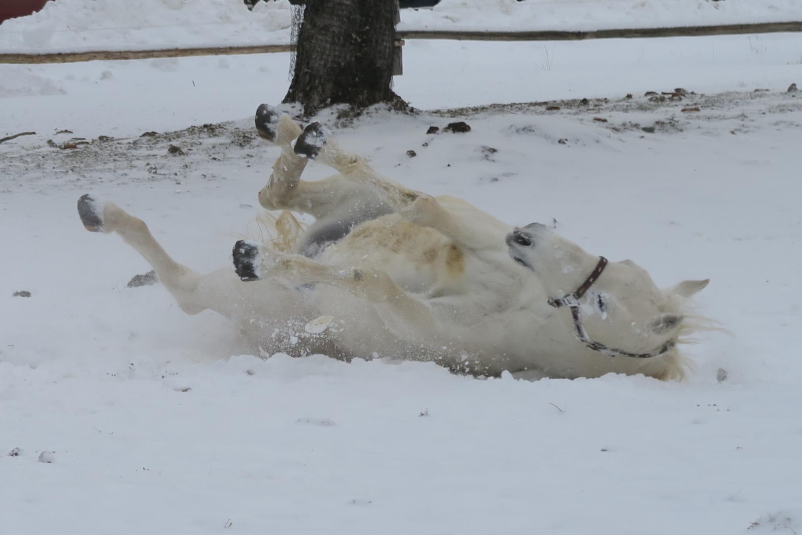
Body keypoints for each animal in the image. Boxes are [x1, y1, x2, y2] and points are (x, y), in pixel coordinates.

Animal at [76, 105, 708, 382]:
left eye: (601, 303)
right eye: (619, 265)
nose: (527, 234)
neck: (523, 303)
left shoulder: (424, 323)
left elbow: (373, 280)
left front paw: (262, 258)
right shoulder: (474, 234)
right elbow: (420, 203)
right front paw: (312, 136)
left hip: (250, 301)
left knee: (188, 285)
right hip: (350, 206)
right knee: (282, 192)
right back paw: (289, 125)